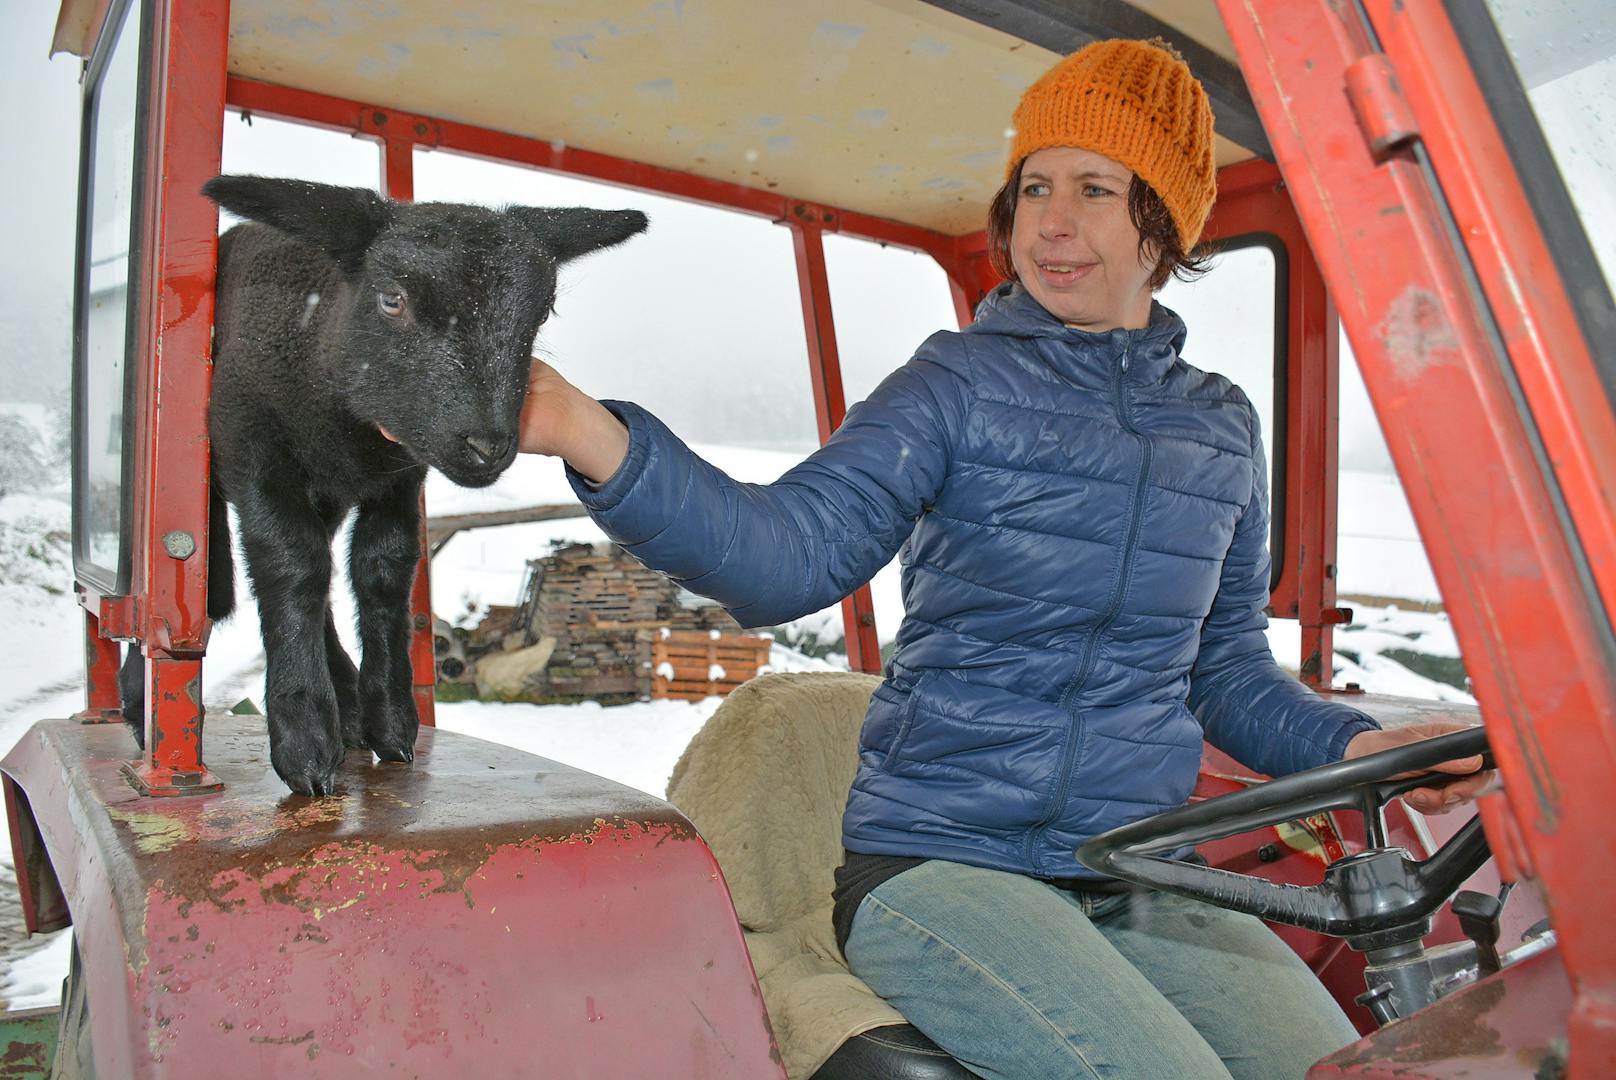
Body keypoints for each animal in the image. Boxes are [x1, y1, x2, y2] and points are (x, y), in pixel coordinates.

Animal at [117, 177, 643, 798]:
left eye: (542, 313)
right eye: (392, 299)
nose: (487, 445)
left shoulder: (400, 473)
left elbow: (384, 568)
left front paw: (387, 720)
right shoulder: (252, 442)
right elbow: (290, 566)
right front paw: (303, 739)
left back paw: (346, 707)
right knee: (240, 584)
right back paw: (140, 702)